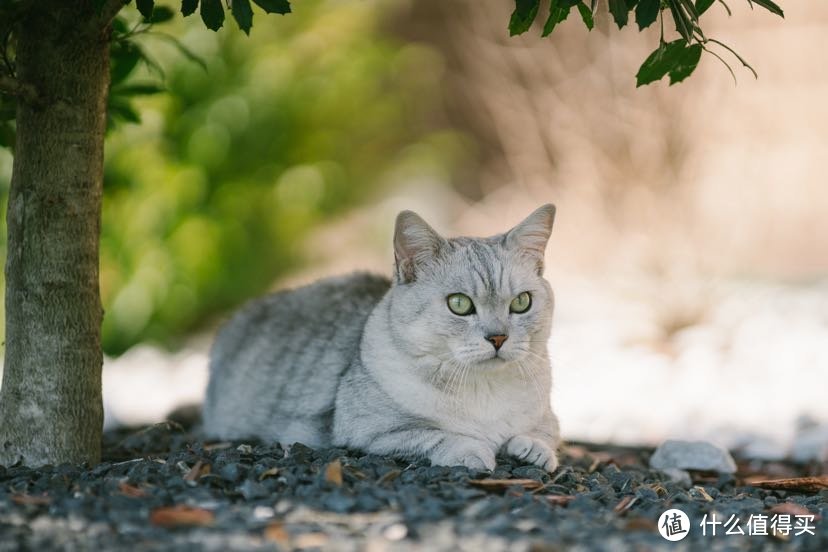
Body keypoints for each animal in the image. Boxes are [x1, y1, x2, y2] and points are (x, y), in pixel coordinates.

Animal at [203, 205, 560, 472]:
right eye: (459, 304)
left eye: (521, 302)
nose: (498, 337)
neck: (484, 390)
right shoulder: (371, 432)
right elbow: (440, 435)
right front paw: (472, 452)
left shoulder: (547, 416)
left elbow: (545, 433)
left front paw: (533, 449)